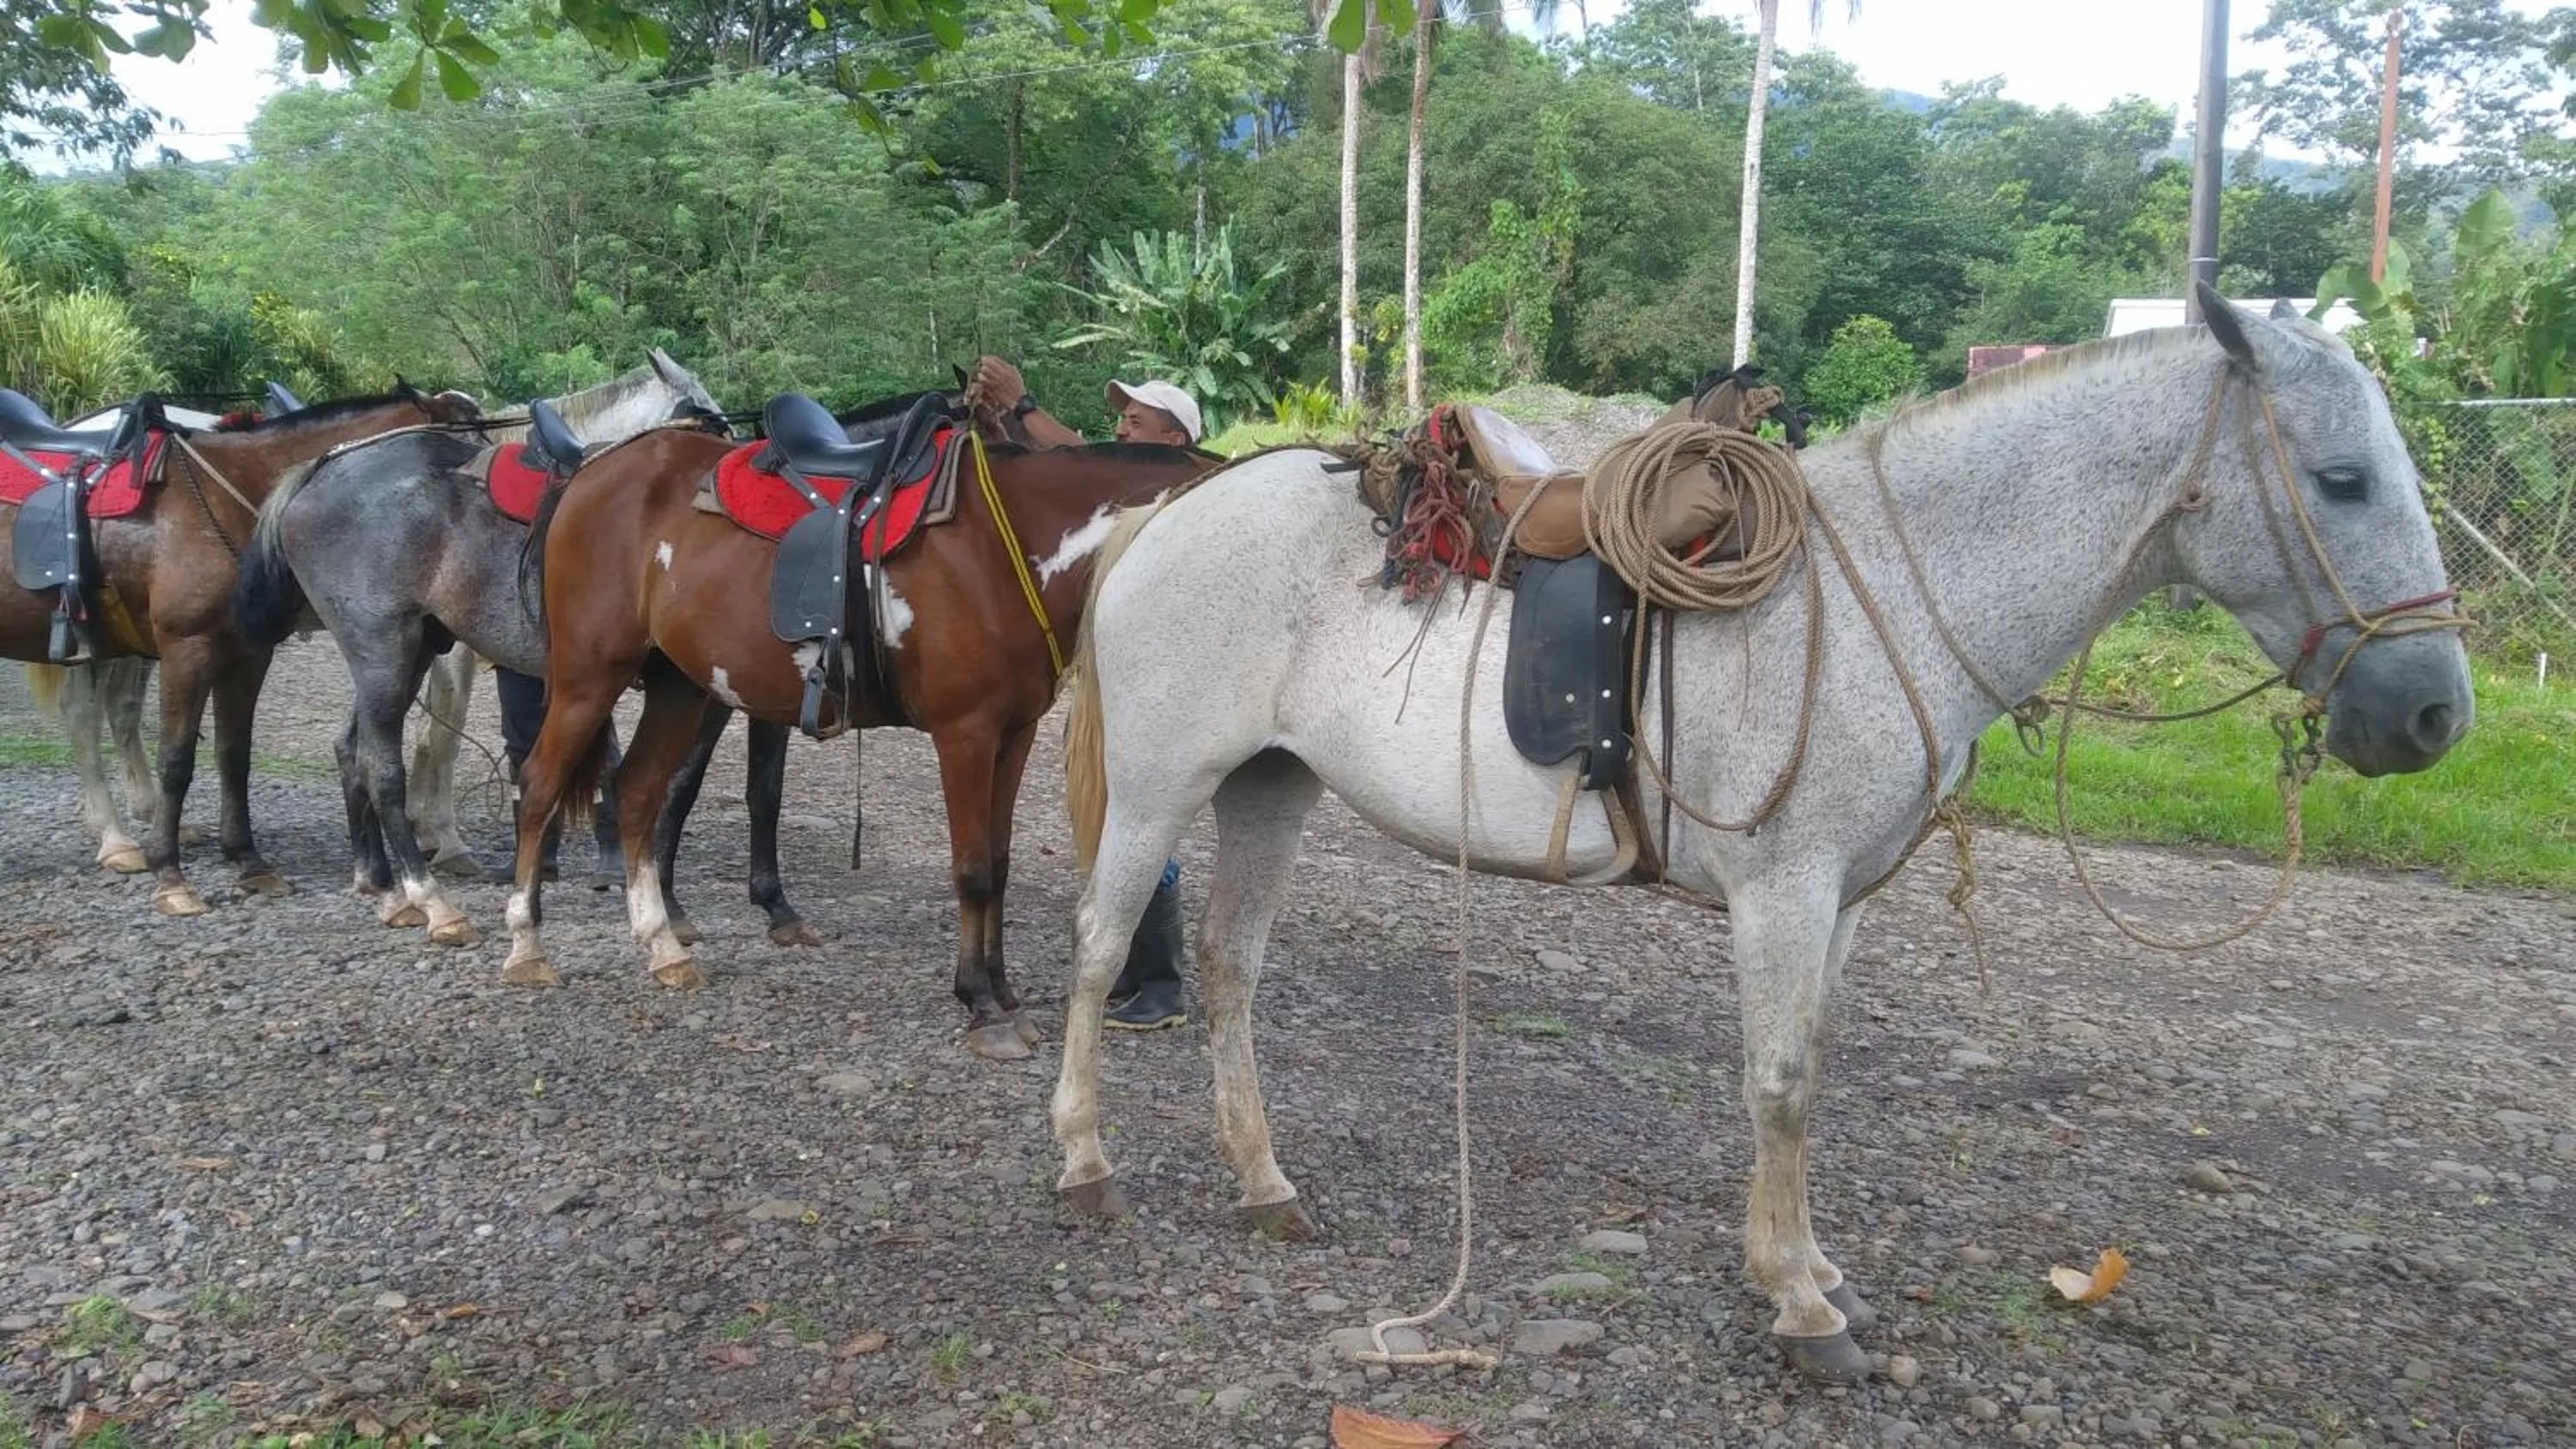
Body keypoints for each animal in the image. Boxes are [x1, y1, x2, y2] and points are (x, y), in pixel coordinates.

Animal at [1, 383, 484, 914]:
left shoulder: (248, 654)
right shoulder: (186, 651)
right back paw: (118, 839)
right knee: (85, 717)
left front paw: (248, 860)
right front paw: (171, 876)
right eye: (460, 447)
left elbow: (234, 753)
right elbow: (177, 758)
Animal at [224, 351, 820, 948]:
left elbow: (745, 789)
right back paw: (432, 900)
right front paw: (673, 905)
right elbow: (682, 785)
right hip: (383, 650)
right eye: (705, 415)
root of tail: (319, 472)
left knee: (353, 749)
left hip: (407, 654)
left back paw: (381, 883)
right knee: (382, 765)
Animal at [500, 393, 1222, 1058]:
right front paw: (982, 1004)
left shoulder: (1012, 735)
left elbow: (999, 862)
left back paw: (662, 948)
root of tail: (591, 470)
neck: (1006, 545)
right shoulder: (965, 733)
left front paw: (1003, 991)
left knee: (638, 793)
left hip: (679, 687)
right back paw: (527, 947)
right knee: (539, 786)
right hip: (589, 676)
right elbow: (972, 869)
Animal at [1046, 284, 2474, 1381]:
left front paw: (1799, 1262)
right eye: (2343, 480)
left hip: (1269, 786)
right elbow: (1778, 1080)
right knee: (1104, 948)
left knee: (1229, 968)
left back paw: (1263, 1185)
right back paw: (1083, 1164)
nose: (2433, 714)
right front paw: (1798, 1303)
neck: (1894, 584)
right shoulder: (1783, 890)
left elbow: (1808, 1070)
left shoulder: (1837, 903)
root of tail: (1172, 511)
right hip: (1167, 786)